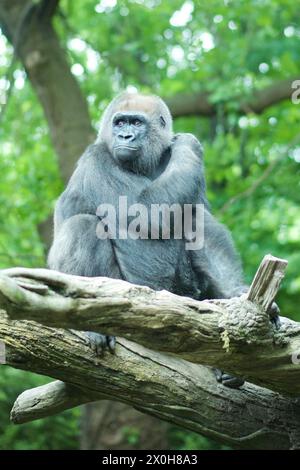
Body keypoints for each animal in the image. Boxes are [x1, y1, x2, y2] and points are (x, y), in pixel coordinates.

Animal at [47, 90, 278, 388]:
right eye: (119, 123)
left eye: (136, 123)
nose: (124, 137)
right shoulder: (96, 159)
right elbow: (146, 213)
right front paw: (188, 143)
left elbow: (198, 219)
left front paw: (236, 296)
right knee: (82, 226)